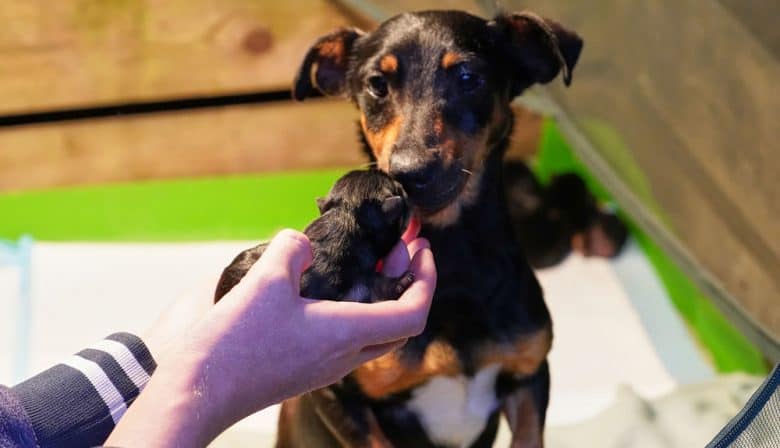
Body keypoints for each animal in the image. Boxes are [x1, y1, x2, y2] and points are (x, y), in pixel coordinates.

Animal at [284, 7, 580, 448]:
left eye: (468, 78)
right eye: (376, 85)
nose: (408, 174)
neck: (452, 253)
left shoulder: (530, 374)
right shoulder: (339, 396)